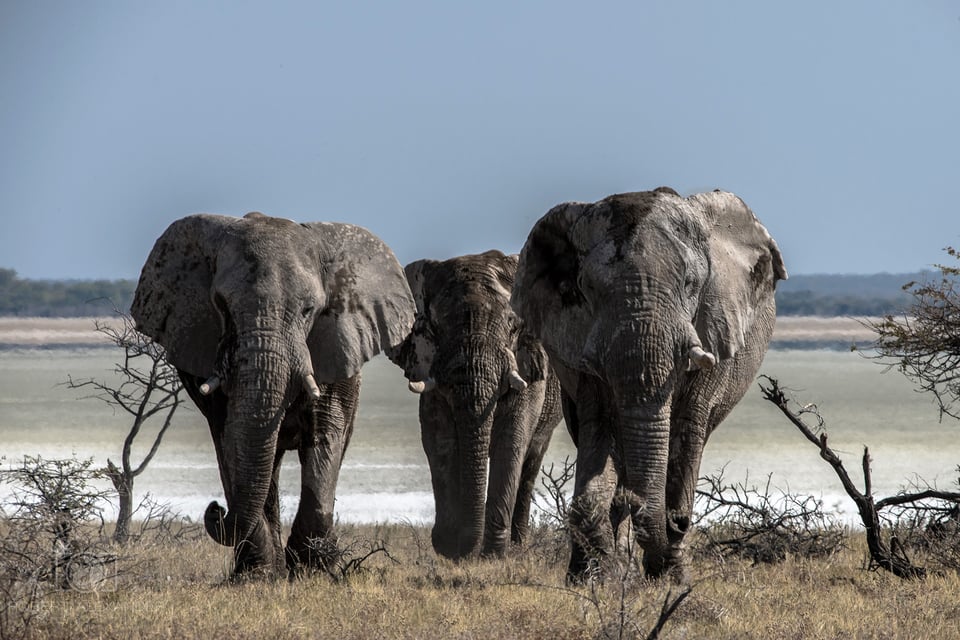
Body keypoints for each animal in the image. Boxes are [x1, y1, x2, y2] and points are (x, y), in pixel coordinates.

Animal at [129, 212, 414, 576]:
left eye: (309, 310)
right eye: (221, 306)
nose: (215, 510)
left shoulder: (333, 344)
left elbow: (326, 432)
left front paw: (313, 570)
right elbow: (232, 440)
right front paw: (260, 574)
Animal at [396, 250, 568, 560]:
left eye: (512, 325)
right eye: (435, 327)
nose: (465, 551)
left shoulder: (528, 365)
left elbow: (511, 441)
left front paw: (493, 555)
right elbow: (439, 440)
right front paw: (449, 546)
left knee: (530, 461)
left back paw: (518, 544)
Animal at [510, 188, 788, 584]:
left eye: (690, 284)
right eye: (587, 289)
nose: (635, 500)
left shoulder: (713, 329)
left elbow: (686, 428)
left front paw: (671, 577)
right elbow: (599, 430)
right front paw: (598, 578)